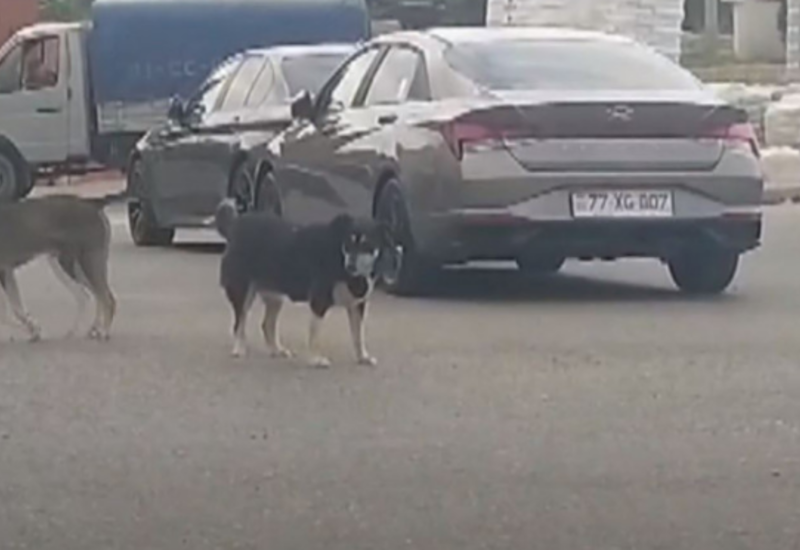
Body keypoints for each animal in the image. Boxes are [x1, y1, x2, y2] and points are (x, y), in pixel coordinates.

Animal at [0, 193, 123, 342]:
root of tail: (93, 204)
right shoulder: (7, 271)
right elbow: (15, 311)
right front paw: (34, 330)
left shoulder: (4, 271)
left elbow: (11, 312)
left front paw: (34, 329)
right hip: (74, 265)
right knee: (93, 295)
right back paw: (91, 329)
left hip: (80, 262)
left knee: (102, 297)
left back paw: (103, 332)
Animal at [215, 199, 391, 368]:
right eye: (348, 242)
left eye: (367, 244)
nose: (351, 266)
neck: (339, 257)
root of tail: (235, 225)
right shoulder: (319, 302)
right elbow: (315, 335)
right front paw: (316, 359)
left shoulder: (357, 306)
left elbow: (358, 336)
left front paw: (363, 357)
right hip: (242, 291)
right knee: (239, 323)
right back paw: (239, 348)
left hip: (274, 298)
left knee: (267, 324)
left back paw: (277, 350)